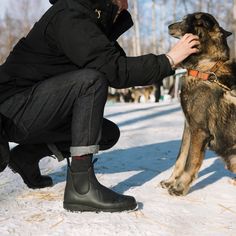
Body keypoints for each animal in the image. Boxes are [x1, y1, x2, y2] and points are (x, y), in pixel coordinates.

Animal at [160, 12, 236, 195]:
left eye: (185, 20)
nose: (168, 26)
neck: (205, 69)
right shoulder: (189, 128)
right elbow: (180, 158)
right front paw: (170, 181)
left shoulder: (199, 130)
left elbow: (190, 162)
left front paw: (179, 187)